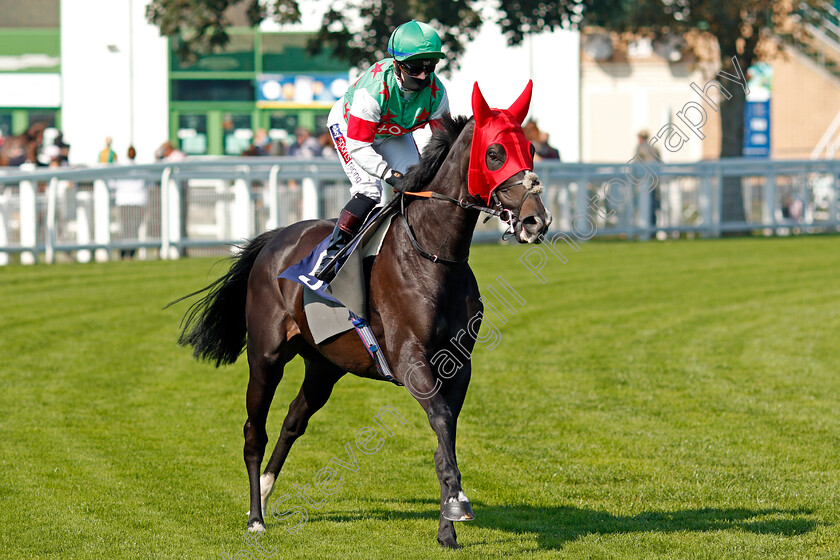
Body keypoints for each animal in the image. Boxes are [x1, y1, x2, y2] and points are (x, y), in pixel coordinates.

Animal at [176, 81, 552, 548]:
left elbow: (445, 432)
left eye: (531, 149)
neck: (433, 254)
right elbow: (441, 420)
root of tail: (274, 239)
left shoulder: (457, 364)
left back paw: (264, 489)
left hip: (325, 365)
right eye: (495, 153)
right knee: (253, 431)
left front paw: (447, 525)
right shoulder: (410, 358)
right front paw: (458, 504)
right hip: (266, 355)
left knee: (293, 420)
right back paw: (255, 517)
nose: (536, 221)